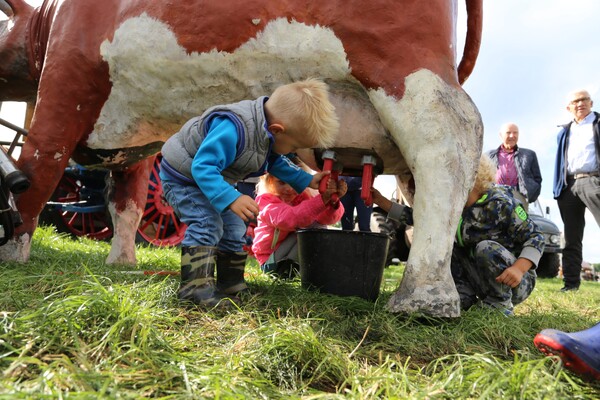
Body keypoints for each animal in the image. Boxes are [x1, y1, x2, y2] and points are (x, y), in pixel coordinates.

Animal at [0, 0, 486, 318]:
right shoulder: (137, 142)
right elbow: (128, 202)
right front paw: (121, 262)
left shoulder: (66, 76)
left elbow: (38, 166)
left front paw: (10, 251)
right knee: (419, 186)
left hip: (404, 66)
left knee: (450, 138)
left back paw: (424, 298)